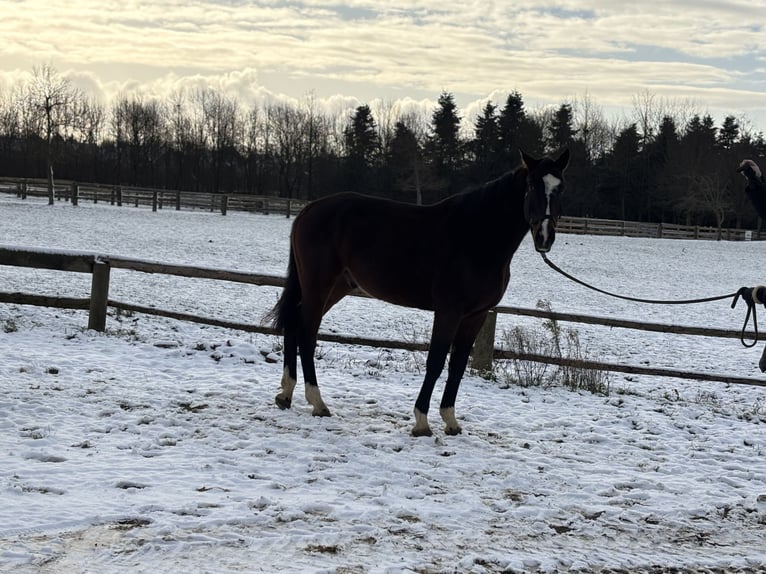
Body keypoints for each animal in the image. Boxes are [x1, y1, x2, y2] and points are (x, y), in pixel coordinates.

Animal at [267, 148, 570, 436]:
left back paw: (286, 394)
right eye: (531, 185)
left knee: (294, 324)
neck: (476, 236)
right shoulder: (448, 312)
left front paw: (451, 421)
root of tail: (308, 210)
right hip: (318, 285)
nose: (544, 237)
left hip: (335, 287)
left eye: (560, 187)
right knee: (307, 332)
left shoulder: (476, 315)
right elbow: (435, 362)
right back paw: (317, 402)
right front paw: (422, 422)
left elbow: (458, 365)